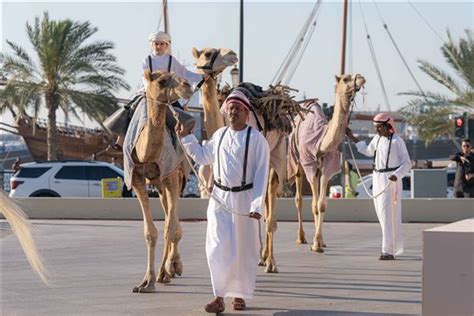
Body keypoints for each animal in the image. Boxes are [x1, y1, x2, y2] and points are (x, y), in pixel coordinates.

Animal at [129, 70, 193, 292]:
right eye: (162, 80)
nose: (187, 86)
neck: (146, 153)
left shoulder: (171, 176)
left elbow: (169, 229)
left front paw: (164, 271)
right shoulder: (137, 178)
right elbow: (151, 232)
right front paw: (146, 282)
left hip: (177, 177)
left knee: (171, 221)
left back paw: (170, 268)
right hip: (158, 184)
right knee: (167, 214)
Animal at [286, 73, 366, 252]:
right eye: (345, 79)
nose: (361, 78)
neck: (321, 144)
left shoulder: (327, 169)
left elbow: (322, 205)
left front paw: (319, 242)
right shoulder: (310, 167)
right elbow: (314, 205)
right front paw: (315, 244)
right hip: (297, 161)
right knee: (299, 198)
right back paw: (301, 237)